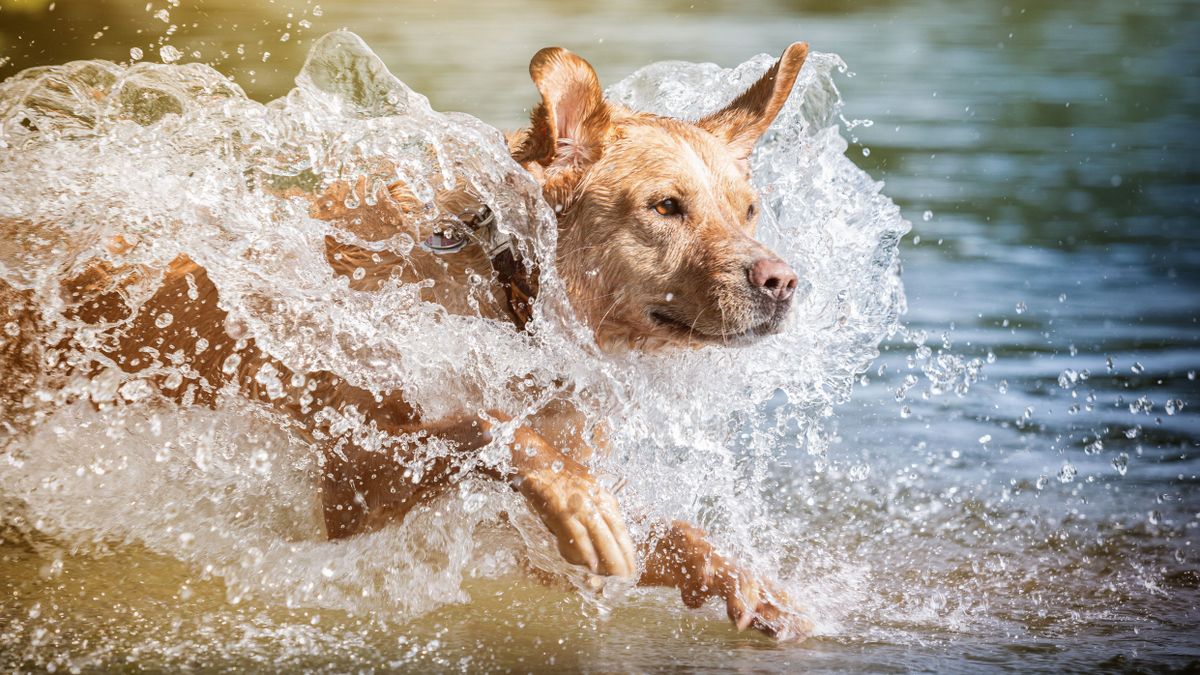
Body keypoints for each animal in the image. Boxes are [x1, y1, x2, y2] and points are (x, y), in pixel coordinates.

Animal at [0, 42, 816, 634]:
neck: (503, 288)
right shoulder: (352, 476)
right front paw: (578, 503)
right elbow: (482, 426)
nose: (781, 281)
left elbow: (663, 533)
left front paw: (741, 581)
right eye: (666, 206)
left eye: (749, 208)